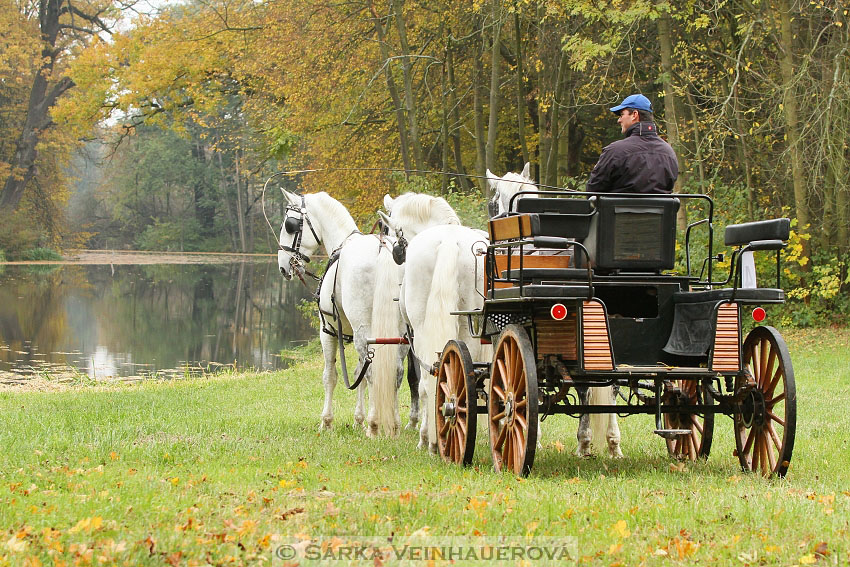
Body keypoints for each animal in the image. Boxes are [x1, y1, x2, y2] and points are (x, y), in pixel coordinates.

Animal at [276, 193, 406, 438]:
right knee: (395, 371)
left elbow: (331, 376)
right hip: (401, 332)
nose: (283, 267)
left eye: (289, 224)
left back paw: (375, 425)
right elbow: (358, 375)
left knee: (373, 372)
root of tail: (383, 249)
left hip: (363, 331)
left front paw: (327, 421)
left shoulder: (328, 331)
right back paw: (393, 425)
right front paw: (358, 420)